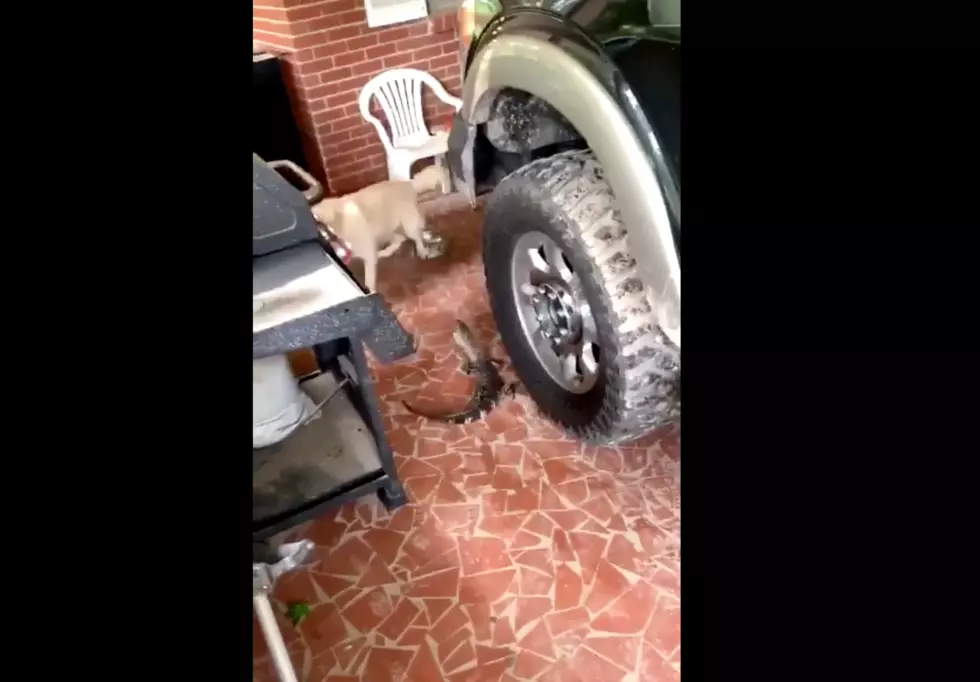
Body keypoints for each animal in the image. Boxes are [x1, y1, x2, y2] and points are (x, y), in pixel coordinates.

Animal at [310, 167, 448, 292]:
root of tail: (408, 183)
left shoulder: (366, 252)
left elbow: (369, 280)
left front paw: (370, 291)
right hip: (386, 229)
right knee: (400, 239)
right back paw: (384, 252)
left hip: (407, 224)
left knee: (415, 237)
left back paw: (421, 250)